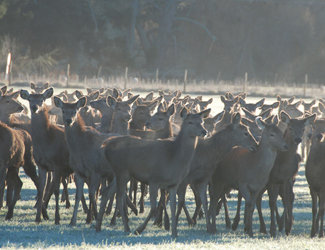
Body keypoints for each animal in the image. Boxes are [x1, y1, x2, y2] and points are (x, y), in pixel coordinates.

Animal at [19, 88, 72, 225]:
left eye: (42, 99)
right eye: (29, 99)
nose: (34, 107)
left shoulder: (58, 165)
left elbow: (55, 189)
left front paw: (57, 218)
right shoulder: (42, 165)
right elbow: (41, 188)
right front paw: (38, 217)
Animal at [101, 107, 209, 236]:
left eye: (202, 121)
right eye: (190, 122)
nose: (204, 131)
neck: (173, 157)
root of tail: (106, 145)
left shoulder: (174, 183)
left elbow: (173, 206)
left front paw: (174, 232)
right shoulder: (153, 179)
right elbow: (153, 208)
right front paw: (139, 229)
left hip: (119, 173)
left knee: (107, 192)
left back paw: (98, 224)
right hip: (122, 171)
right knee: (119, 197)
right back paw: (126, 227)